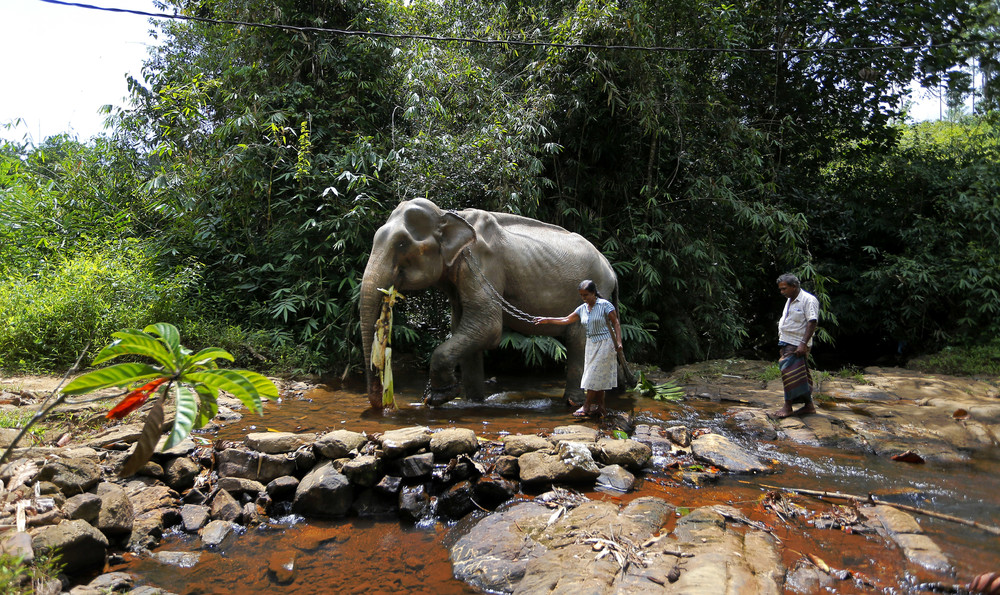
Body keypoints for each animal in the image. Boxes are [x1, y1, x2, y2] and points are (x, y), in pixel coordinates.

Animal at [360, 199, 620, 410]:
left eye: (402, 244)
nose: (383, 404)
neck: (449, 214)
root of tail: (611, 268)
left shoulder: (483, 265)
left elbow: (488, 327)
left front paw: (439, 396)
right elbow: (464, 327)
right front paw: (473, 401)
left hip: (593, 294)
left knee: (578, 340)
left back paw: (573, 402)